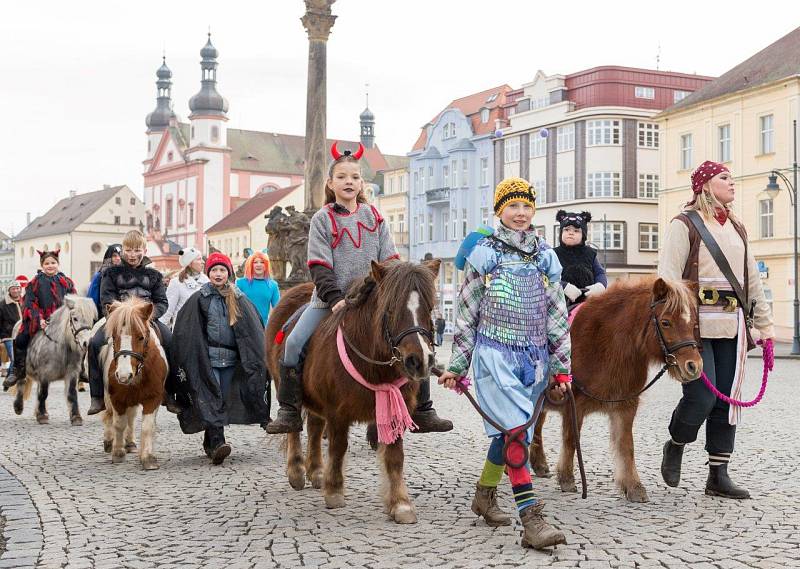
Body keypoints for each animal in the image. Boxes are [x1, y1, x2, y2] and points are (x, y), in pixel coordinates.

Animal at [14, 296, 97, 424]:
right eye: (75, 318)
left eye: (91, 319)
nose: (86, 343)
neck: (62, 347)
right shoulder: (44, 373)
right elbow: (43, 393)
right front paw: (42, 416)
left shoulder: (72, 372)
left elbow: (71, 393)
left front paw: (76, 417)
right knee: (21, 381)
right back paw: (18, 406)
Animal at [100, 296, 169, 468]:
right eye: (114, 336)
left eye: (141, 337)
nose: (124, 375)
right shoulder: (117, 398)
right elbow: (119, 423)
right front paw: (118, 452)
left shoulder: (153, 398)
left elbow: (147, 426)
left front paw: (147, 457)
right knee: (110, 415)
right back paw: (110, 441)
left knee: (131, 417)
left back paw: (130, 443)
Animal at [266, 260, 440, 520]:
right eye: (391, 308)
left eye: (429, 308)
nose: (419, 361)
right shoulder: (337, 412)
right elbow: (338, 448)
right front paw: (334, 491)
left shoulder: (394, 407)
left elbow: (395, 457)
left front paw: (400, 504)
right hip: (283, 383)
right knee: (294, 427)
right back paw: (296, 470)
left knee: (314, 429)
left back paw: (316, 471)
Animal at [532, 276, 700, 502]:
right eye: (666, 322)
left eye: (693, 324)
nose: (693, 366)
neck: (606, 344)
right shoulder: (574, 404)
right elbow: (571, 440)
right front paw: (566, 478)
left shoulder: (626, 405)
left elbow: (626, 445)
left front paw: (633, 486)